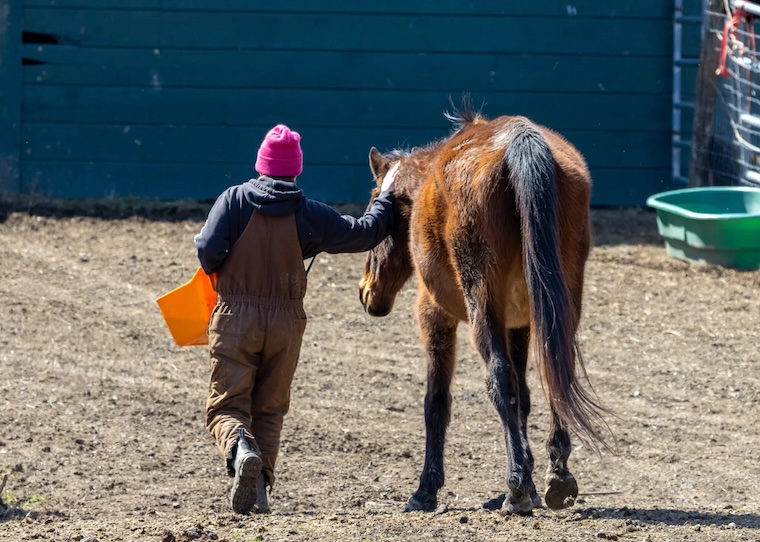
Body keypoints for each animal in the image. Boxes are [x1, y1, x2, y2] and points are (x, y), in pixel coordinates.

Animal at [358, 102, 608, 515]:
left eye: (375, 201)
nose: (367, 292)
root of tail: (519, 141)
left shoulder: (435, 316)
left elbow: (436, 402)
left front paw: (426, 490)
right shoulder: (519, 323)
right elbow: (523, 398)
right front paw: (533, 478)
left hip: (481, 304)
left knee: (499, 377)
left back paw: (515, 490)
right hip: (559, 303)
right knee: (555, 370)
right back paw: (556, 477)